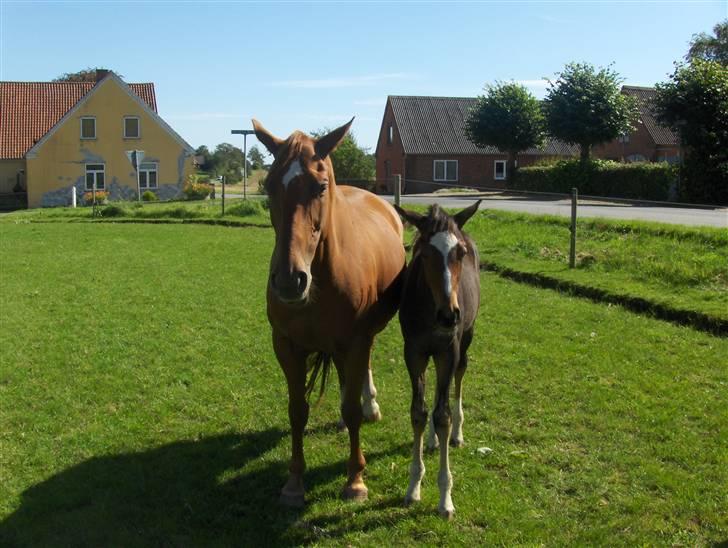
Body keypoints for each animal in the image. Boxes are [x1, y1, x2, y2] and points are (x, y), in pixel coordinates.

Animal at [253, 117, 406, 508]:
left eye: (320, 186)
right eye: (269, 185)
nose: (290, 280)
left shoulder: (356, 340)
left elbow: (352, 409)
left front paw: (355, 480)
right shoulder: (286, 346)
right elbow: (297, 411)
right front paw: (294, 482)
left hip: (363, 339)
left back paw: (370, 406)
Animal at [396, 201, 480, 520]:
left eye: (461, 253)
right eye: (423, 254)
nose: (448, 315)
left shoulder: (449, 349)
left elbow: (443, 415)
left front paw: (445, 498)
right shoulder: (414, 351)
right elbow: (419, 413)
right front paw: (413, 487)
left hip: (466, 337)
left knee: (459, 375)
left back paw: (457, 434)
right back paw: (432, 440)